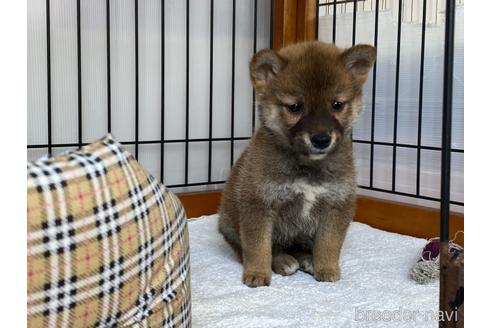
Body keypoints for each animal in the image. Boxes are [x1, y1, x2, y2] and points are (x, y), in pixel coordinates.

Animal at [217, 41, 374, 288]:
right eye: (295, 107)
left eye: (337, 104)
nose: (321, 139)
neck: (307, 166)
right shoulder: (258, 203)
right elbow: (258, 246)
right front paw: (258, 273)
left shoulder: (337, 204)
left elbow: (329, 243)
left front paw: (326, 268)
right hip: (229, 225)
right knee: (257, 249)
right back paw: (283, 261)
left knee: (301, 247)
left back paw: (307, 259)